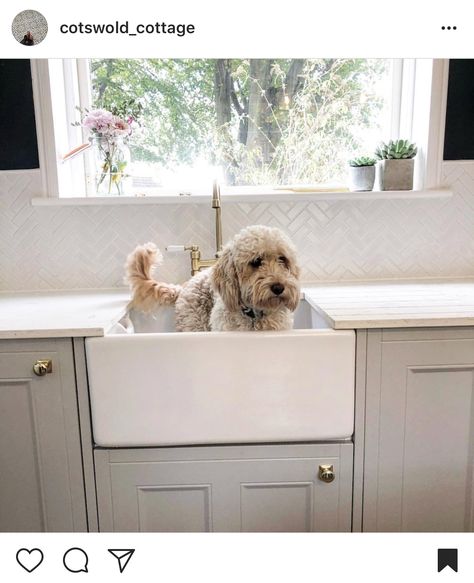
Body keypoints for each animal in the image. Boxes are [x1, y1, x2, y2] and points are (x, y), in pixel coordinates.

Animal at [125, 226, 300, 330]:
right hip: (194, 324)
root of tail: (184, 286)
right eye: (256, 261)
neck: (255, 316)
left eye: (283, 259)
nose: (279, 287)